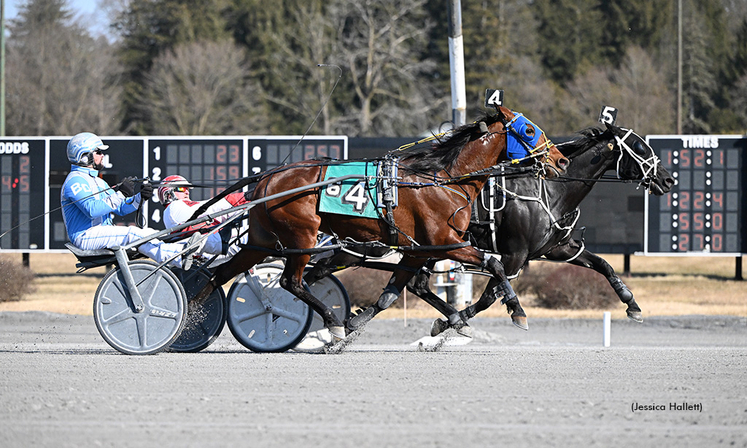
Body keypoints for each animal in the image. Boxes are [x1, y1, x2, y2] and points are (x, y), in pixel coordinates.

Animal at [196, 106, 568, 344]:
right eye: (529, 130)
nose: (561, 160)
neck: (442, 180)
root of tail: (267, 177)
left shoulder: (420, 249)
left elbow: (394, 292)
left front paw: (454, 320)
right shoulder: (446, 242)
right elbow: (494, 264)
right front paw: (517, 311)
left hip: (261, 240)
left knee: (222, 273)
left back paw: (193, 317)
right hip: (301, 236)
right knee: (291, 281)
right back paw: (331, 322)